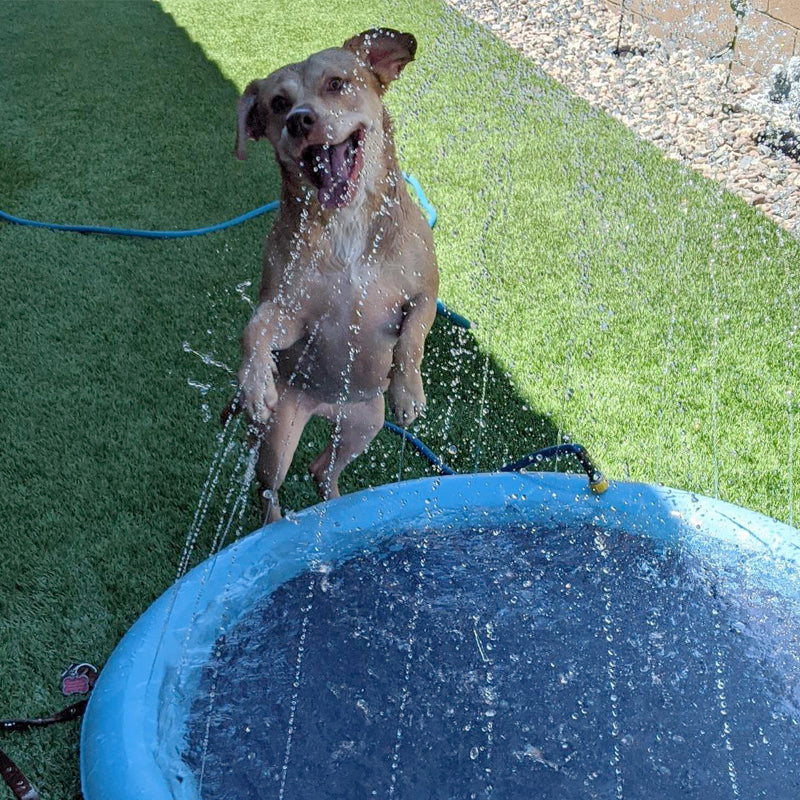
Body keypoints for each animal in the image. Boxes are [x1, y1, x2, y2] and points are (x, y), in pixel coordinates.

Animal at [228, 28, 440, 520]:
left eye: (337, 84)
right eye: (278, 104)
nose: (300, 120)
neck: (346, 227)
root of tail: (327, 407)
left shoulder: (425, 292)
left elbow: (414, 335)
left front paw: (408, 391)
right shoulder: (291, 312)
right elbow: (255, 328)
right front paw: (254, 382)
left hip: (364, 425)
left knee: (322, 468)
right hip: (281, 436)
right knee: (272, 486)